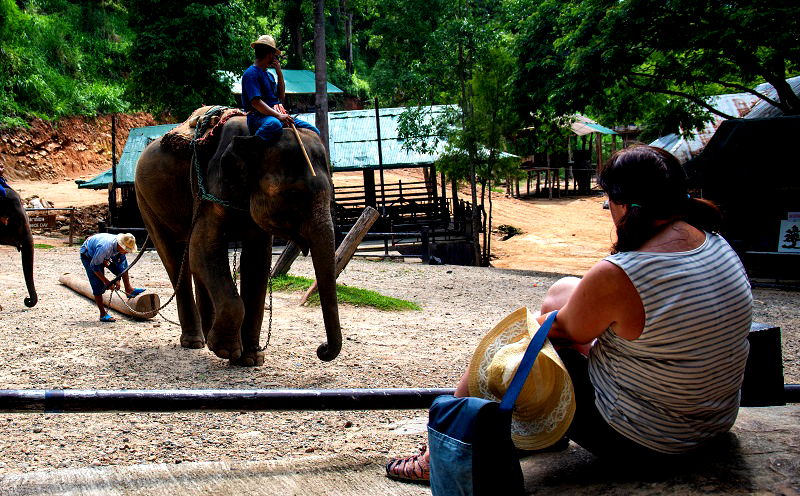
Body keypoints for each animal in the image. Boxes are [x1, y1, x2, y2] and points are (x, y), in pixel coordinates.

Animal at [134, 114, 340, 366]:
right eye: (294, 195)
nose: (322, 349)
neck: (252, 135)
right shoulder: (209, 191)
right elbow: (203, 249)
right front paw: (225, 351)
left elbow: (256, 261)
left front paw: (251, 359)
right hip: (145, 202)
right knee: (175, 258)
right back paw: (195, 342)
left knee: (191, 262)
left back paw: (207, 336)